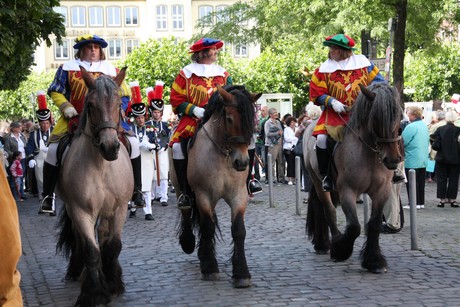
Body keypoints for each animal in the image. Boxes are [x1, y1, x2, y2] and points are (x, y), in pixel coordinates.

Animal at [55, 66, 133, 306]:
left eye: (118, 104)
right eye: (90, 105)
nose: (110, 147)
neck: (101, 167)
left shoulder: (119, 208)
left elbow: (113, 246)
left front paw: (113, 283)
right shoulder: (81, 211)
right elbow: (91, 250)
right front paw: (94, 293)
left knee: (103, 236)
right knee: (81, 238)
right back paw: (78, 271)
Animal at [176, 85, 262, 288]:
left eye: (252, 121)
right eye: (229, 119)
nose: (241, 162)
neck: (223, 155)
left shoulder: (238, 195)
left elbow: (238, 230)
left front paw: (241, 273)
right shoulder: (203, 195)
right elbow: (207, 226)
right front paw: (210, 269)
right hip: (182, 188)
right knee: (186, 210)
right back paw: (188, 242)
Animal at [306, 82, 402, 274]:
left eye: (399, 118)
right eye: (376, 119)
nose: (393, 160)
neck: (369, 153)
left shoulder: (382, 191)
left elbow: (374, 224)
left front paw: (374, 261)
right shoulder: (348, 191)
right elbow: (354, 227)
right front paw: (340, 250)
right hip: (319, 183)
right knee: (328, 210)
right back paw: (330, 243)